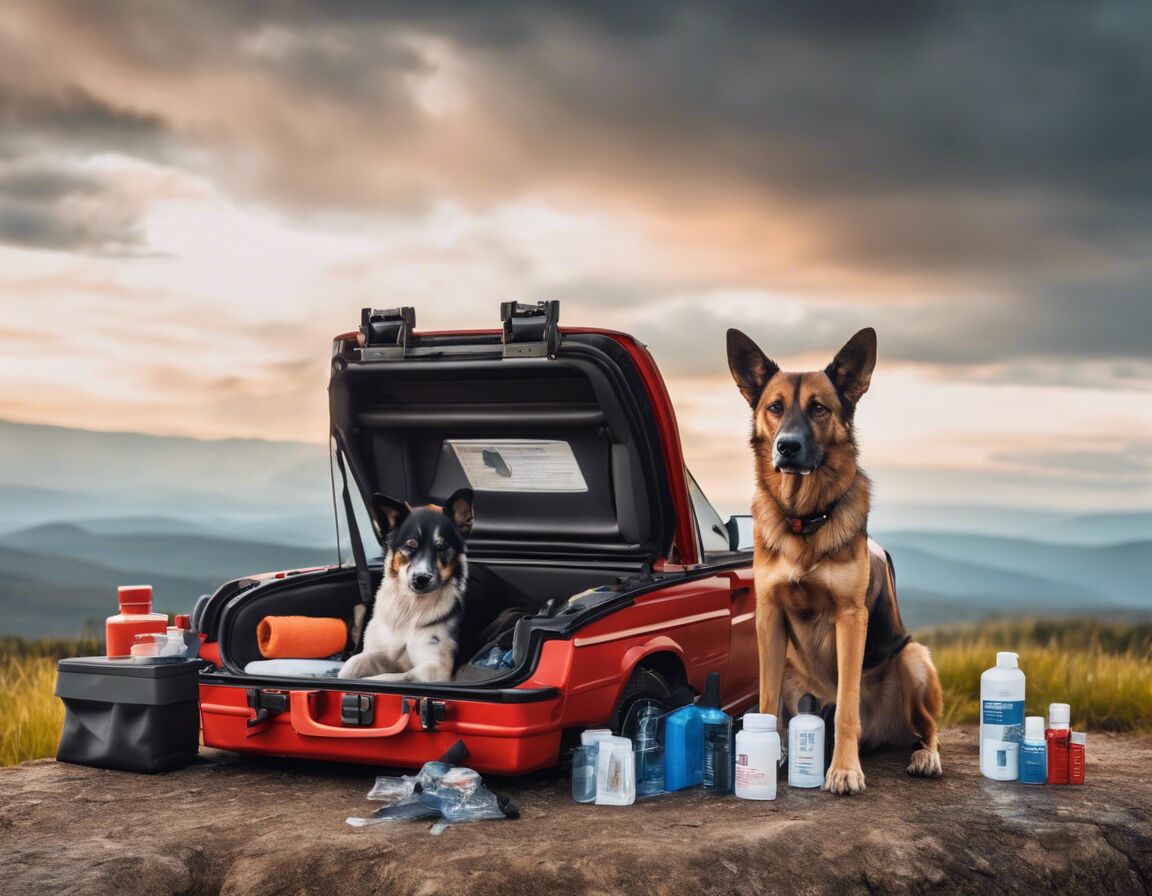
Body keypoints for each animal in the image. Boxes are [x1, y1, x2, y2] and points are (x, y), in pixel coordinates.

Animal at [336, 488, 472, 677]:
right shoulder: (383, 653)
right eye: (410, 545)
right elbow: (352, 665)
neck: (410, 607)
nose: (421, 578)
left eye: (442, 547)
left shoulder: (435, 667)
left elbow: (388, 677)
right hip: (360, 608)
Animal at [732, 327, 940, 787]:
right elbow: (766, 703)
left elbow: (846, 707)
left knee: (927, 727)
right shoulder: (769, 616)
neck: (805, 519)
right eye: (775, 407)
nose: (787, 447)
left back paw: (925, 756)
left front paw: (844, 770)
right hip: (792, 667)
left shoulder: (850, 617)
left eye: (819, 408)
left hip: (914, 659)